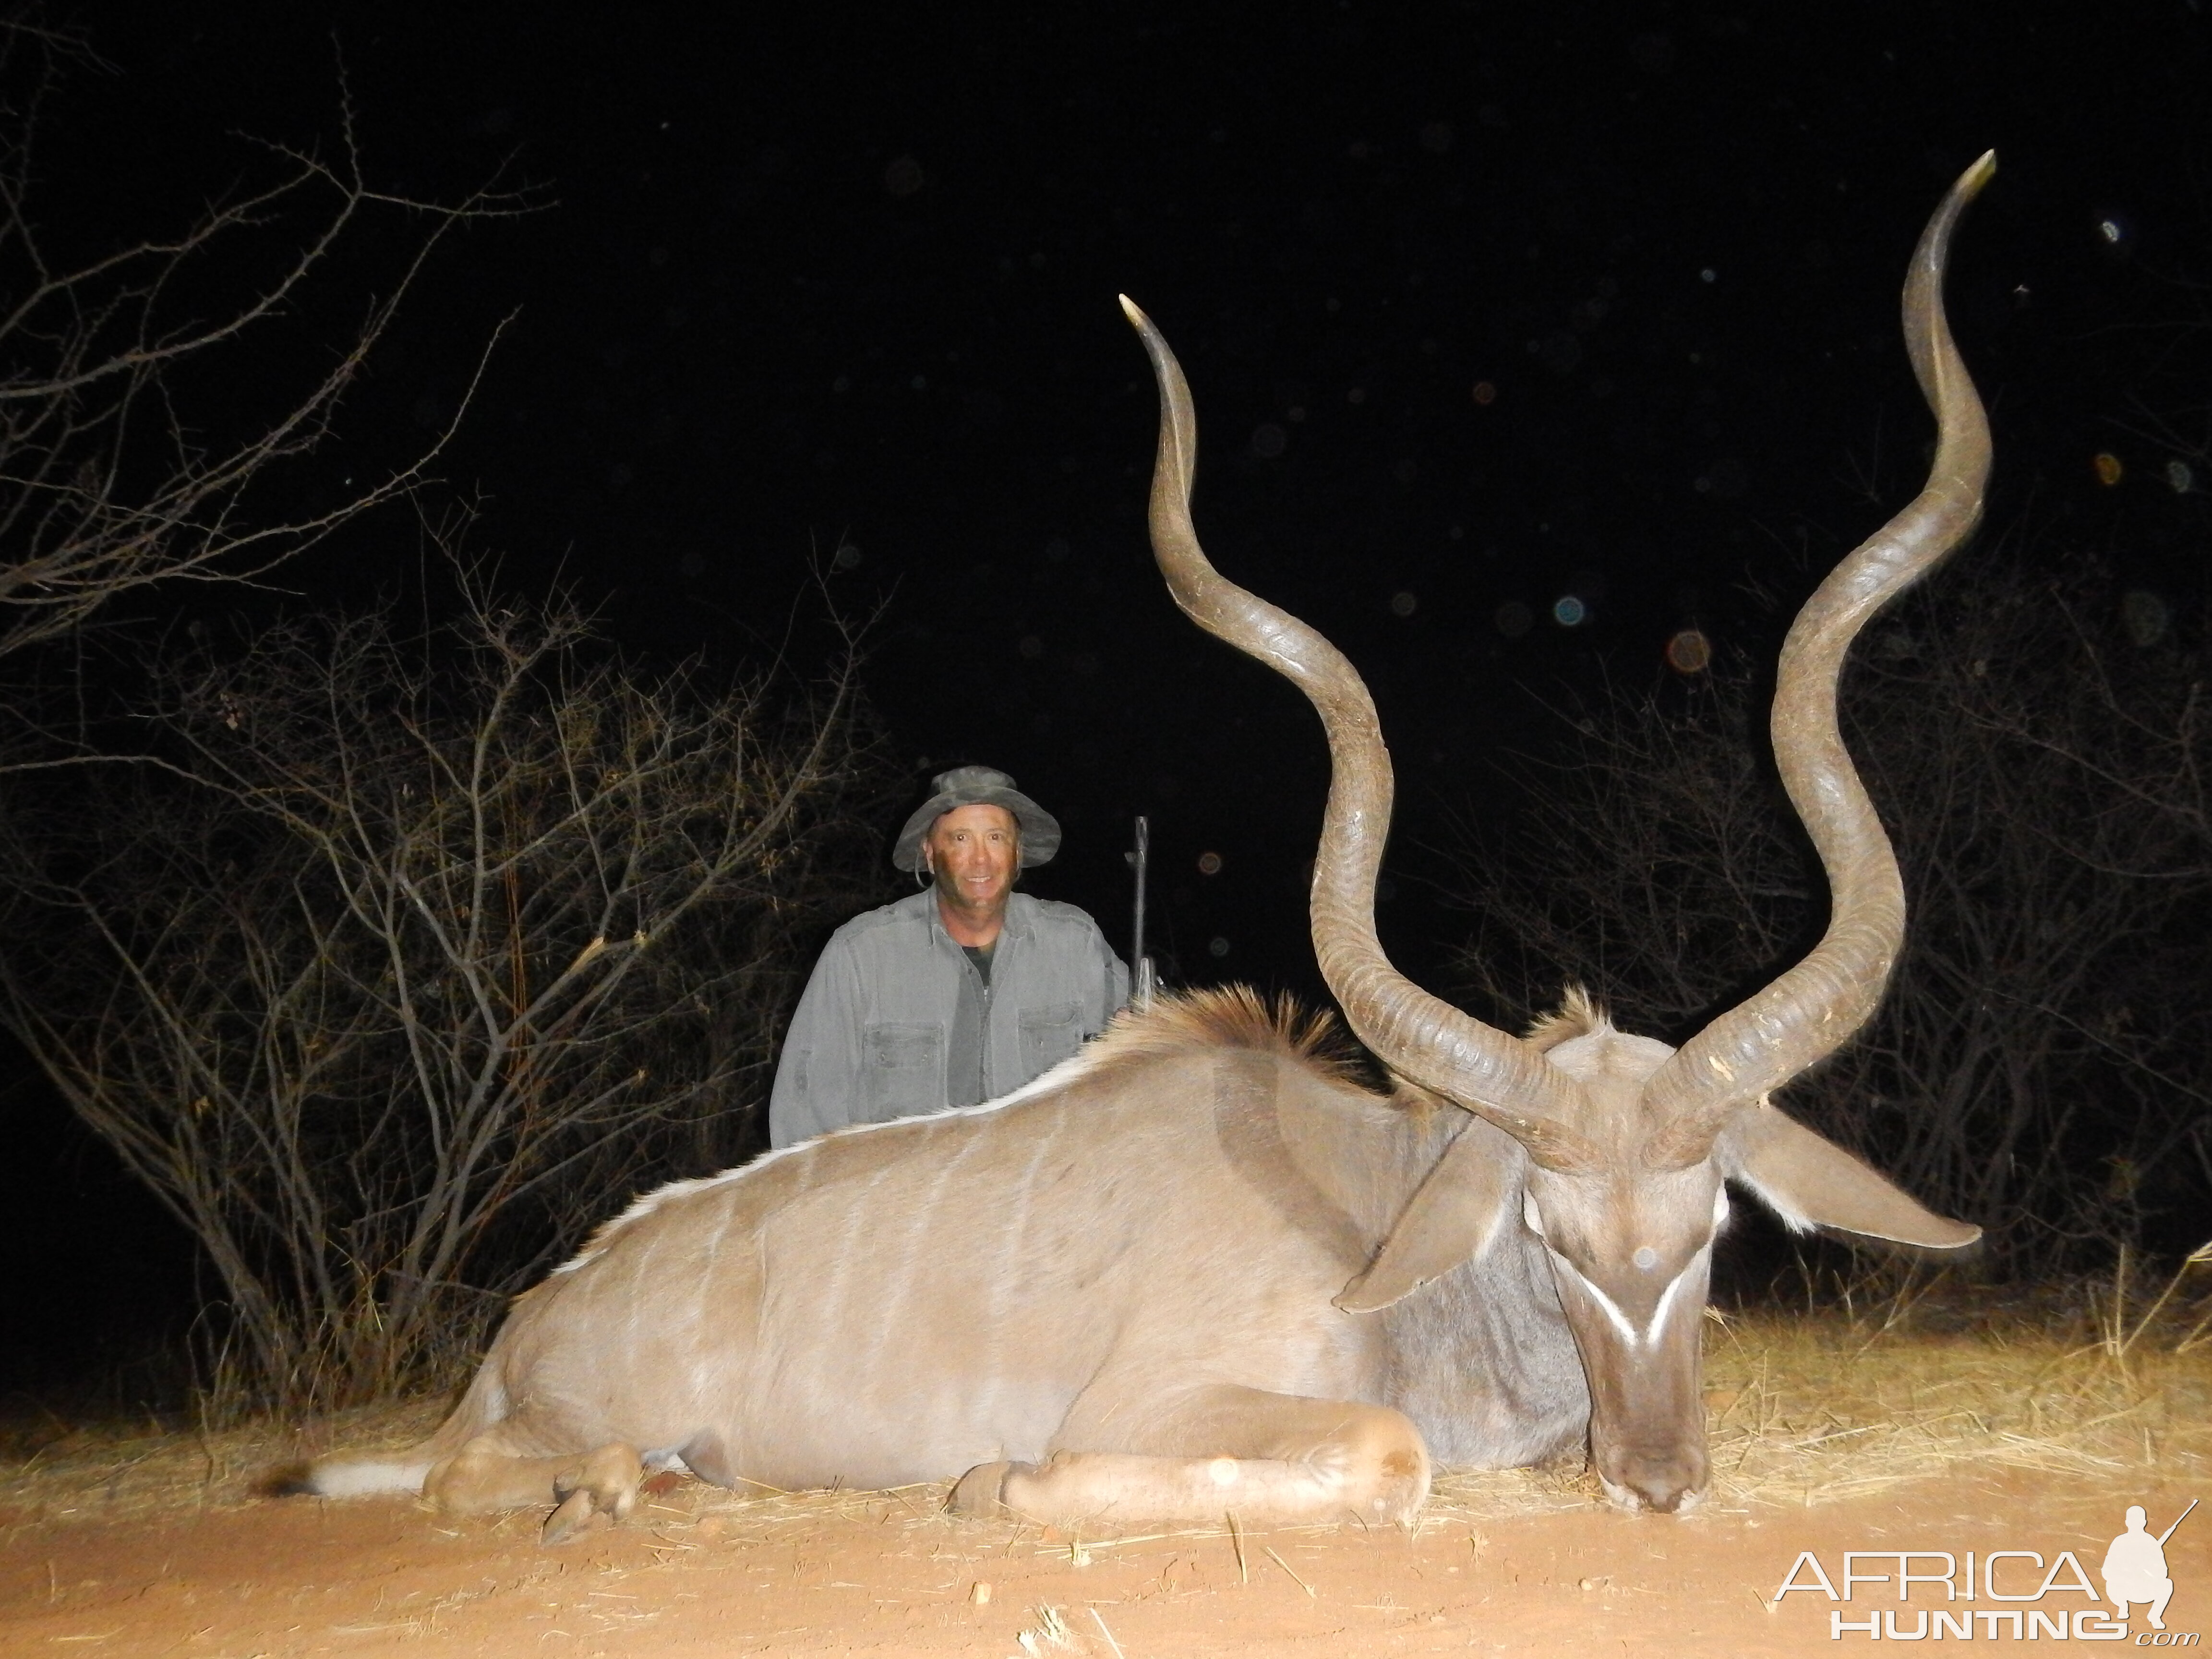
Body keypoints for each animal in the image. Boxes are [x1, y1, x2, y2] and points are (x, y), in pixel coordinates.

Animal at [285, 162, 1999, 1539]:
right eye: (1547, 1230)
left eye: (1711, 1228)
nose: (1658, 1481)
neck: (1372, 1216)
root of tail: (526, 1320)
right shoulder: (1173, 1402)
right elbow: (1379, 1456)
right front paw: (994, 1483)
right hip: (547, 1429)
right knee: (474, 1477)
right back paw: (598, 1487)